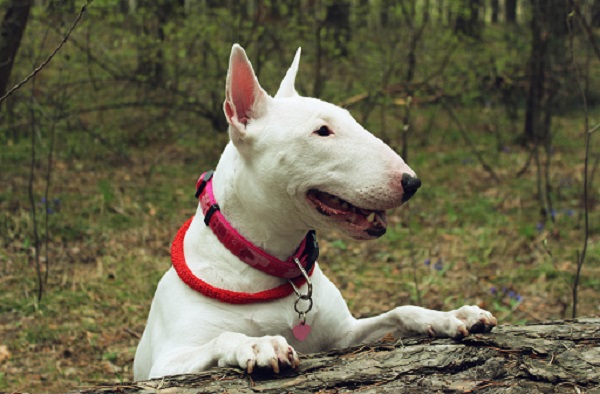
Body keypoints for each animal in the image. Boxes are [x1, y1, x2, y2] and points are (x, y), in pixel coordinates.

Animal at [135, 44, 496, 380]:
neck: (269, 267)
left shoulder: (343, 336)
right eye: (322, 131)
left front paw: (452, 316)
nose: (412, 183)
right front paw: (259, 343)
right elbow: (222, 337)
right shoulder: (167, 363)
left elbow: (400, 311)